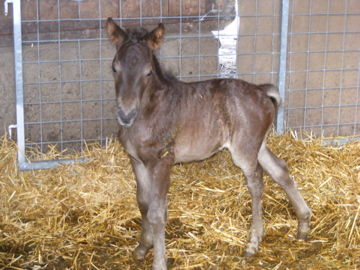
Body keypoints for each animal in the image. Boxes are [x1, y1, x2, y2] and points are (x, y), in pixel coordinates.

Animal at [105, 18, 310, 270]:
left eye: (148, 72)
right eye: (114, 68)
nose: (125, 114)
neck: (148, 113)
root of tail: (261, 90)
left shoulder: (162, 161)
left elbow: (157, 212)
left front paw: (159, 261)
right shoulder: (136, 160)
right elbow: (143, 203)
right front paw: (142, 247)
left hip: (243, 151)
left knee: (256, 182)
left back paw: (253, 243)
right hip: (257, 144)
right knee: (280, 169)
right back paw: (303, 224)